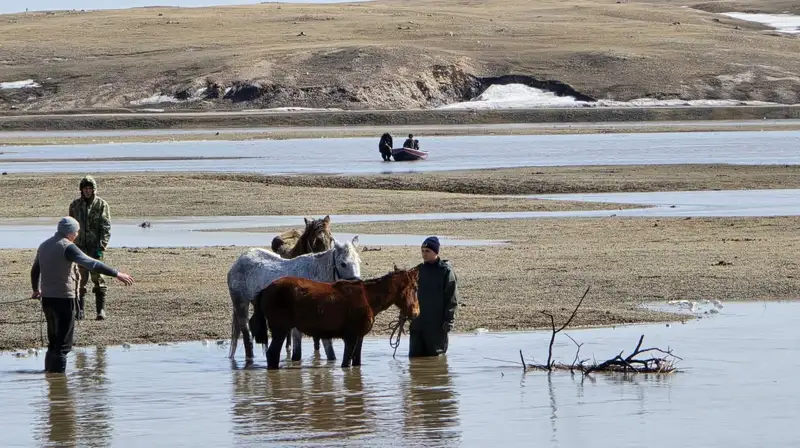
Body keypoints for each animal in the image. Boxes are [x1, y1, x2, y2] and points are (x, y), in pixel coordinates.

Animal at [225, 236, 362, 362]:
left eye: (359, 261)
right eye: (343, 263)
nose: (356, 287)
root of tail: (238, 261)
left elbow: (329, 351)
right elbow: (298, 351)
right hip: (241, 304)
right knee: (246, 335)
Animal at [250, 266, 422, 368]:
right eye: (415, 288)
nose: (416, 313)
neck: (367, 298)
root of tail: (265, 289)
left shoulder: (359, 337)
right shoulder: (350, 338)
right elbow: (346, 363)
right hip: (281, 330)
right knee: (272, 354)